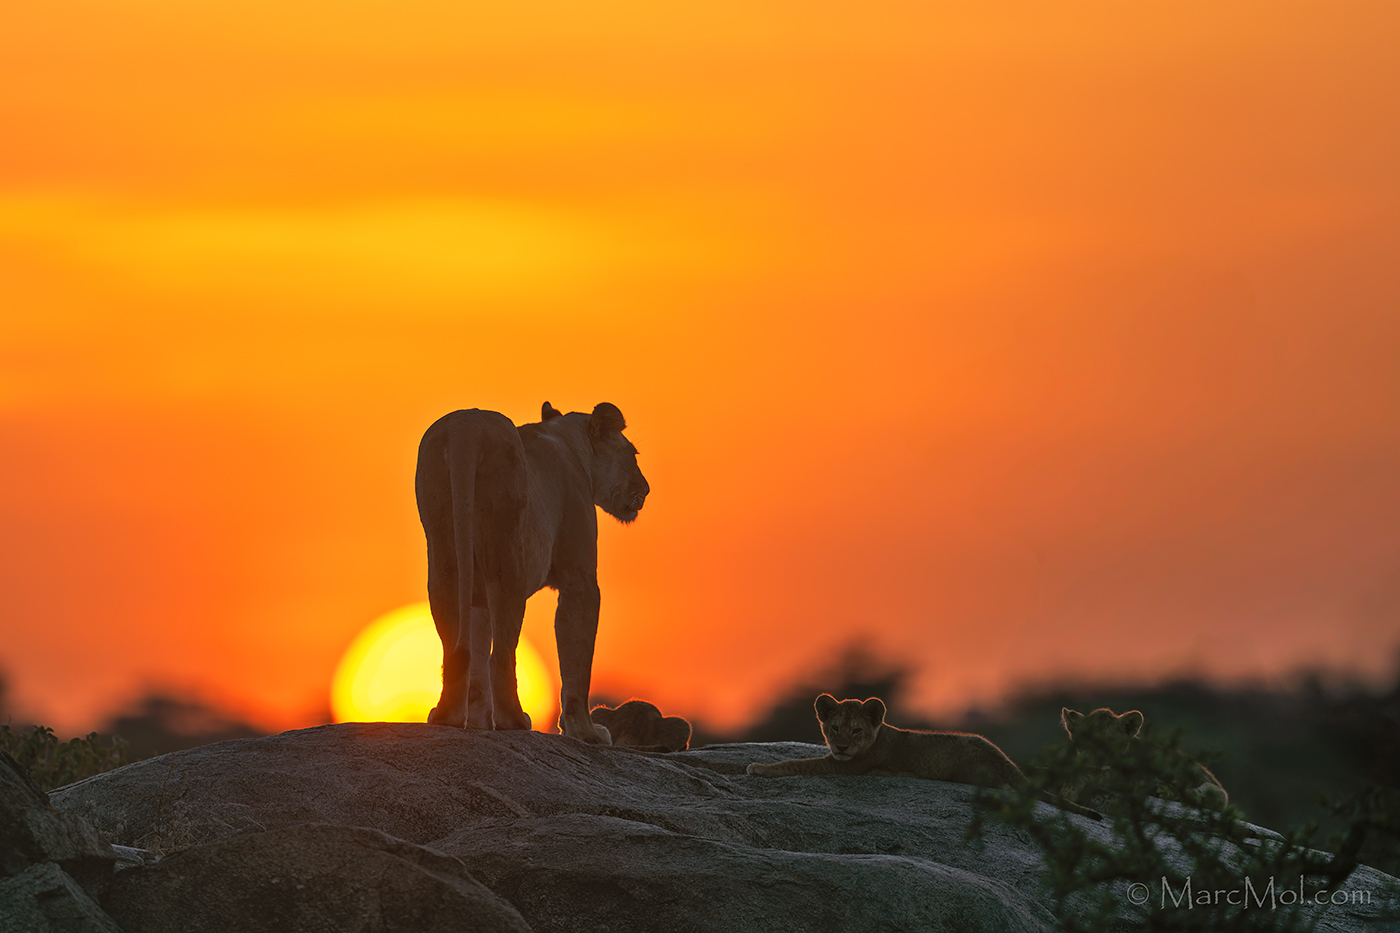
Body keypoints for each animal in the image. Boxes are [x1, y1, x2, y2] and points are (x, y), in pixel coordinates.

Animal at [415, 401, 649, 742]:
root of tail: (466, 427)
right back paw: (514, 719)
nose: (645, 488)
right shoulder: (580, 578)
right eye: (633, 453)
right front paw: (586, 732)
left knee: (457, 644)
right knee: (501, 652)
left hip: (445, 549)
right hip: (507, 549)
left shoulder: (477, 595)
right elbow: (577, 658)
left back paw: (449, 717)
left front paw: (480, 722)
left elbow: (478, 643)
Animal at [747, 694, 1102, 820]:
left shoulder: (844, 767)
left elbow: (796, 763)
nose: (842, 747)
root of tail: (1000, 754)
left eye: (856, 731)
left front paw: (758, 766)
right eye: (834, 728)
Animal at [1060, 707, 1229, 811]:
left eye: (1112, 741)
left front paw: (1070, 788)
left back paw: (1162, 789)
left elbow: (1092, 772)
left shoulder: (1124, 776)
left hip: (1215, 791)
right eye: (1087, 738)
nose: (1099, 759)